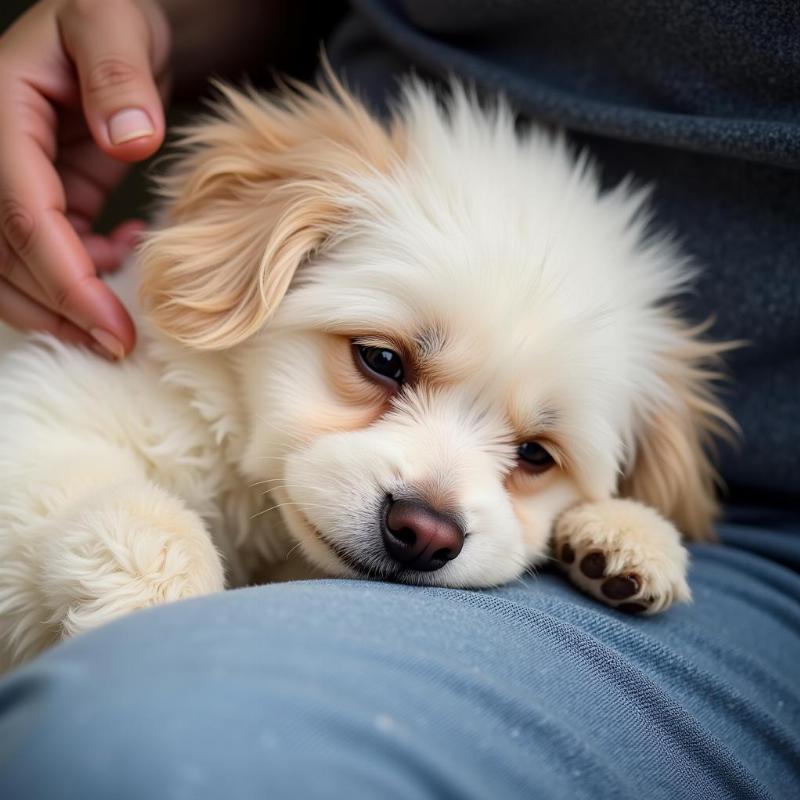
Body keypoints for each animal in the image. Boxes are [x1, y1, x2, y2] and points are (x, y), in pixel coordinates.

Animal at [0, 79, 732, 668]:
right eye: (381, 360)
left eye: (535, 454)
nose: (425, 535)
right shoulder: (41, 413)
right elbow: (124, 501)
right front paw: (161, 598)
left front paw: (629, 533)